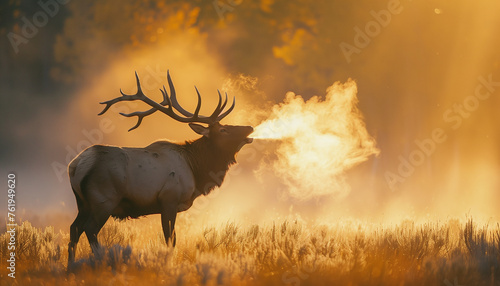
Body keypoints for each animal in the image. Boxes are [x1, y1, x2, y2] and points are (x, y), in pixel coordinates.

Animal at [66, 71, 254, 264]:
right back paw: (102, 259)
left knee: (74, 229)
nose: (249, 127)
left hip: (83, 203)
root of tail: (75, 165)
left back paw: (71, 265)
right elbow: (170, 239)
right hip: (104, 200)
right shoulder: (169, 199)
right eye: (223, 130)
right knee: (90, 229)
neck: (196, 170)